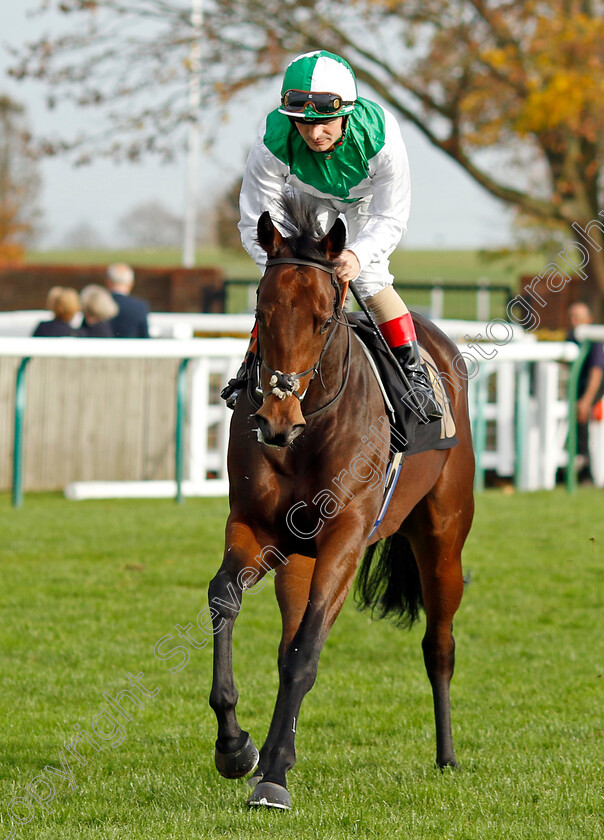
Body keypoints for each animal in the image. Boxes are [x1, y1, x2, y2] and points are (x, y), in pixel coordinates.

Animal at [209, 195, 476, 808]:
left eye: (324, 318)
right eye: (260, 309)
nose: (276, 420)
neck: (309, 432)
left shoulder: (345, 537)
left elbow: (307, 651)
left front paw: (274, 778)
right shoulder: (255, 528)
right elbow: (225, 601)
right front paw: (237, 748)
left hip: (443, 539)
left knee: (439, 645)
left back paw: (447, 756)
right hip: (296, 559)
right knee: (285, 642)